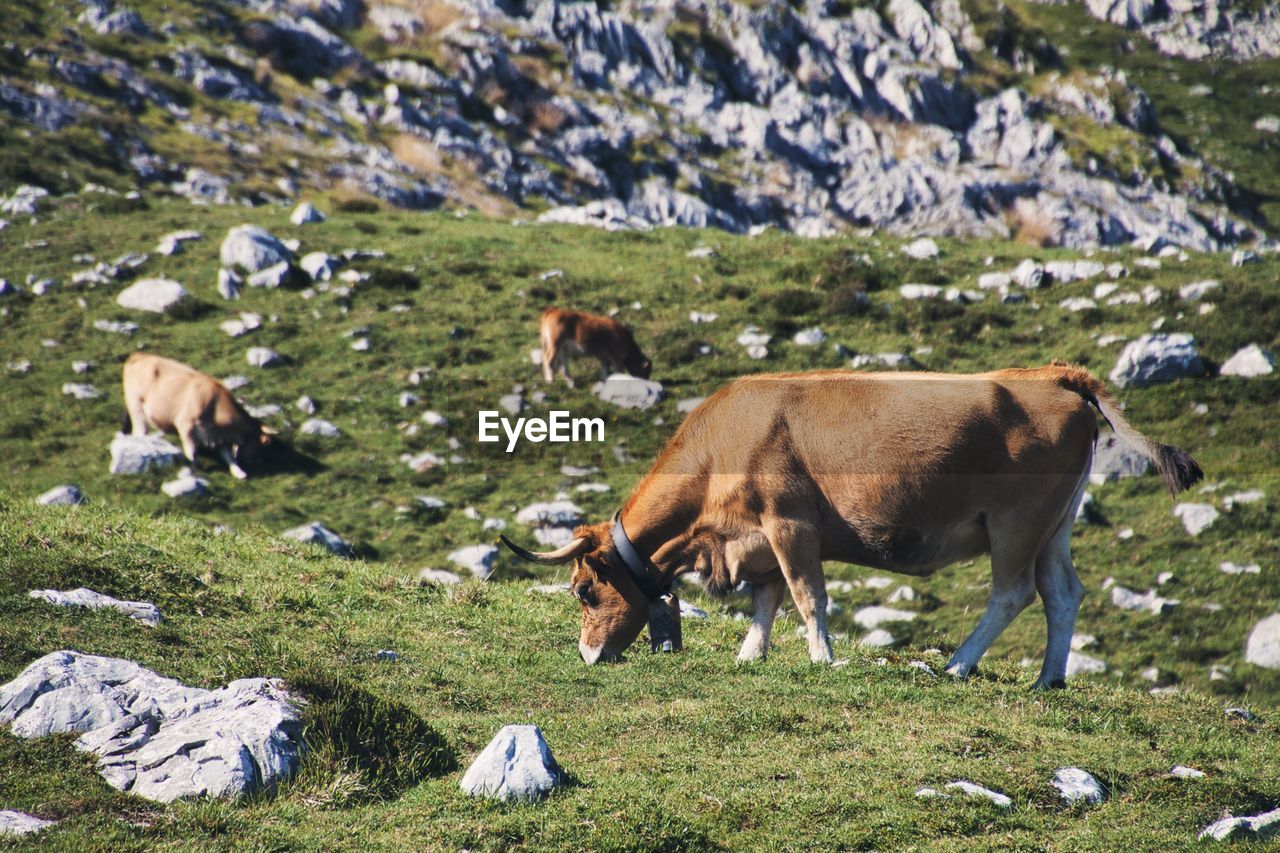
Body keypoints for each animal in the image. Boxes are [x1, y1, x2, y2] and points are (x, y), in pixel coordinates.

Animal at [120, 350, 276, 479]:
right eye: (262, 445)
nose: (260, 464)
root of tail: (138, 355)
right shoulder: (186, 426)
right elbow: (192, 453)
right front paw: (191, 471)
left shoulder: (220, 438)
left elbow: (229, 457)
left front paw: (239, 472)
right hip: (136, 406)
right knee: (139, 431)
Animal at [499, 361, 1198, 686]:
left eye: (583, 591)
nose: (588, 655)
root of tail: (1053, 375)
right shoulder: (758, 538)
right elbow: (766, 599)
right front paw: (751, 654)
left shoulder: (790, 524)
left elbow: (808, 597)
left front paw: (823, 658)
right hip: (1056, 526)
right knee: (1062, 592)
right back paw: (1049, 678)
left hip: (1015, 523)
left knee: (1013, 592)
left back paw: (956, 665)